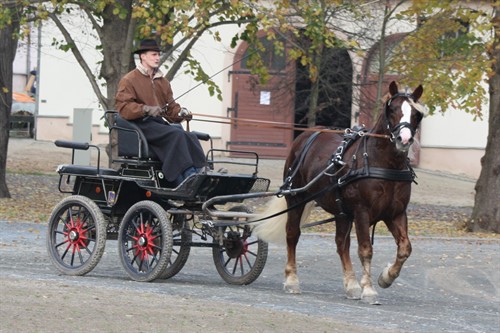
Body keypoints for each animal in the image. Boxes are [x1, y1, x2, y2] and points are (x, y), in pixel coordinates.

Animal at [254, 81, 426, 304]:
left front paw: (386, 277)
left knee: (341, 244)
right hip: (296, 197)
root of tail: (307, 134)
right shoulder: (362, 212)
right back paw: (292, 280)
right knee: (292, 234)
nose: (403, 139)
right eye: (393, 109)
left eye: (416, 114)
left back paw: (351, 285)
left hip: (342, 211)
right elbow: (365, 249)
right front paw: (369, 290)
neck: (383, 164)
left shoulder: (395, 213)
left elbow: (405, 248)